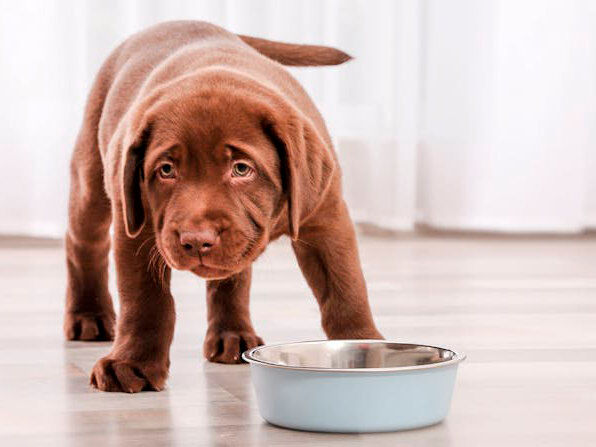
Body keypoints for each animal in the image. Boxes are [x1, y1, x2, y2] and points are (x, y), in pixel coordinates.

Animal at [65, 21, 382, 392]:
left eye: (241, 169)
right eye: (166, 170)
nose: (196, 240)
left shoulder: (325, 216)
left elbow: (345, 287)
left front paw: (363, 347)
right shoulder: (136, 226)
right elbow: (144, 299)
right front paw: (132, 364)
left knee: (233, 277)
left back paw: (233, 335)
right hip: (92, 177)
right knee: (83, 242)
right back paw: (88, 315)